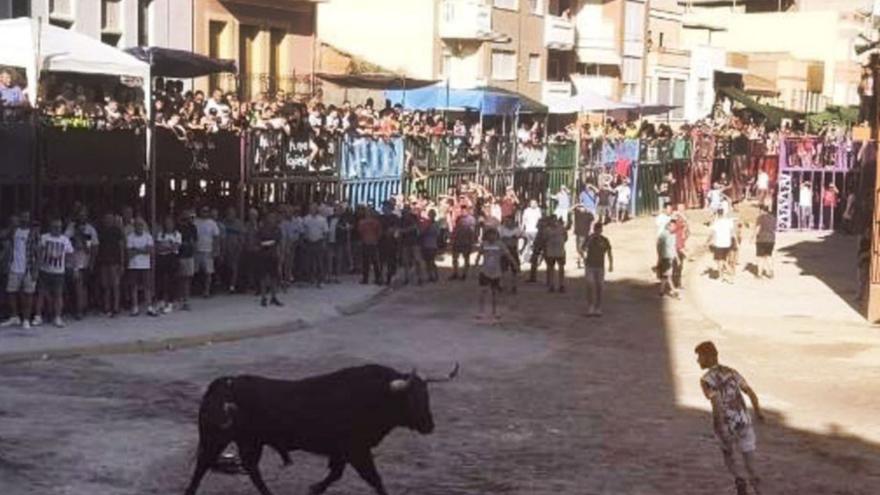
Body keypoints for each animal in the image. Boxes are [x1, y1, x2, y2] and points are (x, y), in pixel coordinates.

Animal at [186, 364, 460, 495]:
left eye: (427, 396)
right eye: (411, 399)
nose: (429, 425)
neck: (374, 394)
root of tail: (222, 383)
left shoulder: (343, 451)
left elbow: (336, 474)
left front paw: (314, 488)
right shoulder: (357, 450)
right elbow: (374, 479)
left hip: (249, 441)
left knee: (251, 469)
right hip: (216, 438)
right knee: (202, 466)